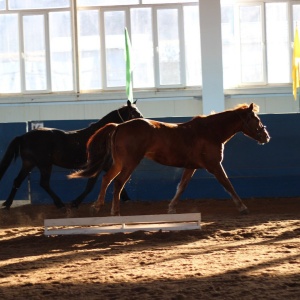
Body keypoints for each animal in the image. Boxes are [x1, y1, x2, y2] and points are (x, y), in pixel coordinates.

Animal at [0, 100, 143, 209]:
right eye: (134, 113)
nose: (143, 123)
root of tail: (23, 136)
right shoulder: (98, 166)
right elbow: (90, 185)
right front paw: (75, 203)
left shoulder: (106, 165)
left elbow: (115, 181)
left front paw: (126, 199)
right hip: (44, 164)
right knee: (44, 183)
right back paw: (59, 203)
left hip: (29, 163)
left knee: (17, 181)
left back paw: (7, 204)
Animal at [69, 103, 270, 216]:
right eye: (256, 119)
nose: (266, 136)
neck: (210, 132)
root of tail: (119, 126)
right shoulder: (214, 166)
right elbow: (228, 185)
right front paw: (243, 207)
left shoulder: (191, 167)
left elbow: (181, 187)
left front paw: (171, 208)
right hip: (130, 163)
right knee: (118, 183)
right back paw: (115, 211)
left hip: (120, 163)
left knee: (106, 179)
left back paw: (97, 207)